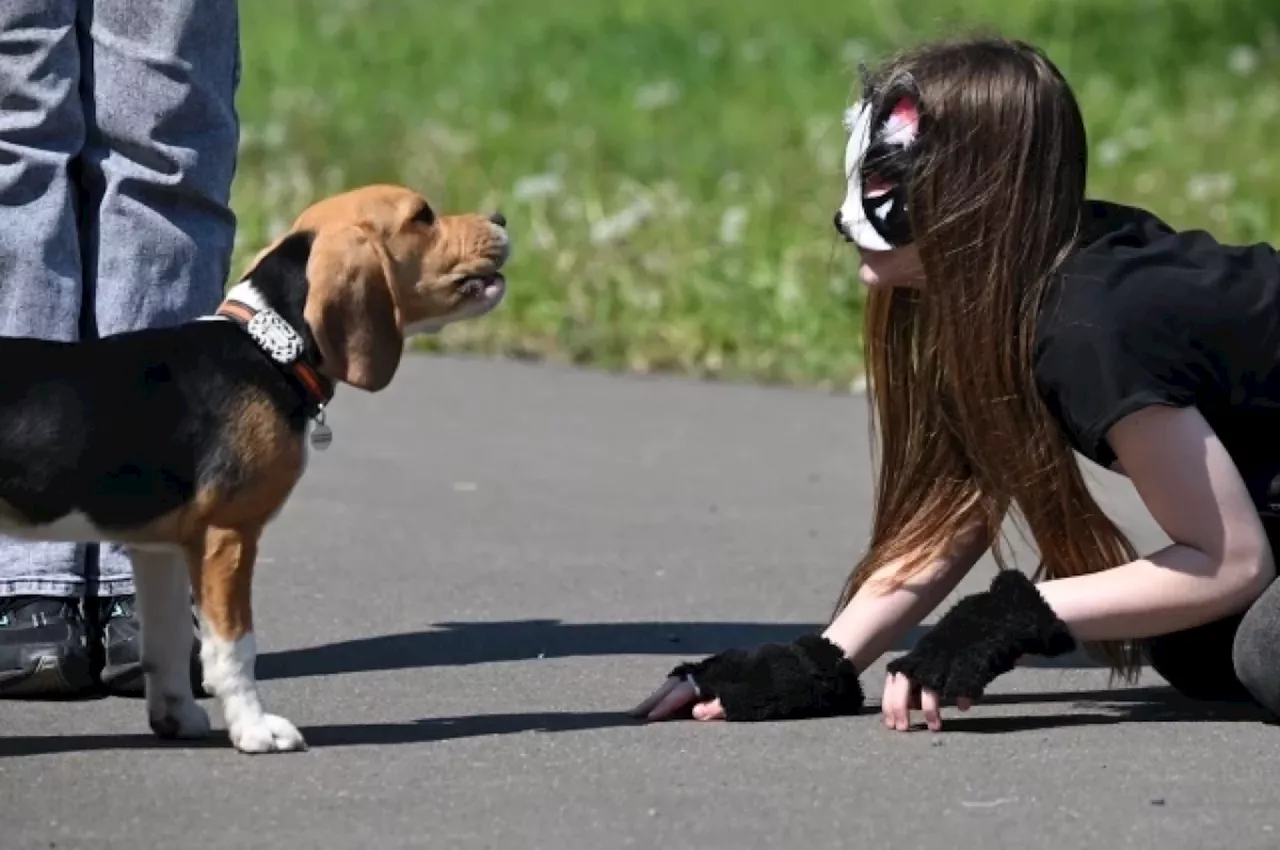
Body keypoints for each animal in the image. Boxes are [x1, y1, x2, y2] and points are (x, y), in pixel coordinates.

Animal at [0, 184, 509, 752]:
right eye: (422, 217)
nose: (501, 217)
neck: (269, 346)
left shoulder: (161, 548)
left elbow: (169, 640)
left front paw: (176, 716)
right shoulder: (228, 535)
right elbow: (234, 647)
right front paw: (255, 728)